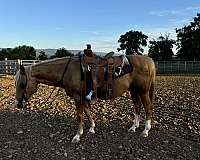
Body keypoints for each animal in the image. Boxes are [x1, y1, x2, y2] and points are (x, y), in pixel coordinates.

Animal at [15, 55, 156, 142]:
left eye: (21, 84)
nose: (18, 104)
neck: (68, 70)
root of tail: (149, 60)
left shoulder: (78, 97)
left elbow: (80, 115)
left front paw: (77, 135)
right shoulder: (84, 97)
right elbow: (88, 112)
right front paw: (92, 128)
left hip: (143, 91)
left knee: (148, 108)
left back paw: (145, 130)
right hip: (134, 91)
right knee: (137, 107)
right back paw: (134, 127)